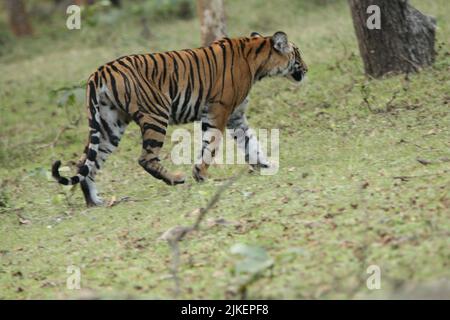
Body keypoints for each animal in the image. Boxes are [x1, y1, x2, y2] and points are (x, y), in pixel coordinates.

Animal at [51, 31, 308, 206]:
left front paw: (264, 164)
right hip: (156, 114)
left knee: (85, 163)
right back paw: (176, 179)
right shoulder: (219, 110)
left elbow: (251, 143)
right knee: (145, 158)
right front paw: (201, 175)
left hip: (109, 125)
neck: (258, 60)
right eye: (298, 53)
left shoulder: (236, 117)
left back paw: (95, 201)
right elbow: (210, 146)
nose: (306, 69)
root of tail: (98, 72)